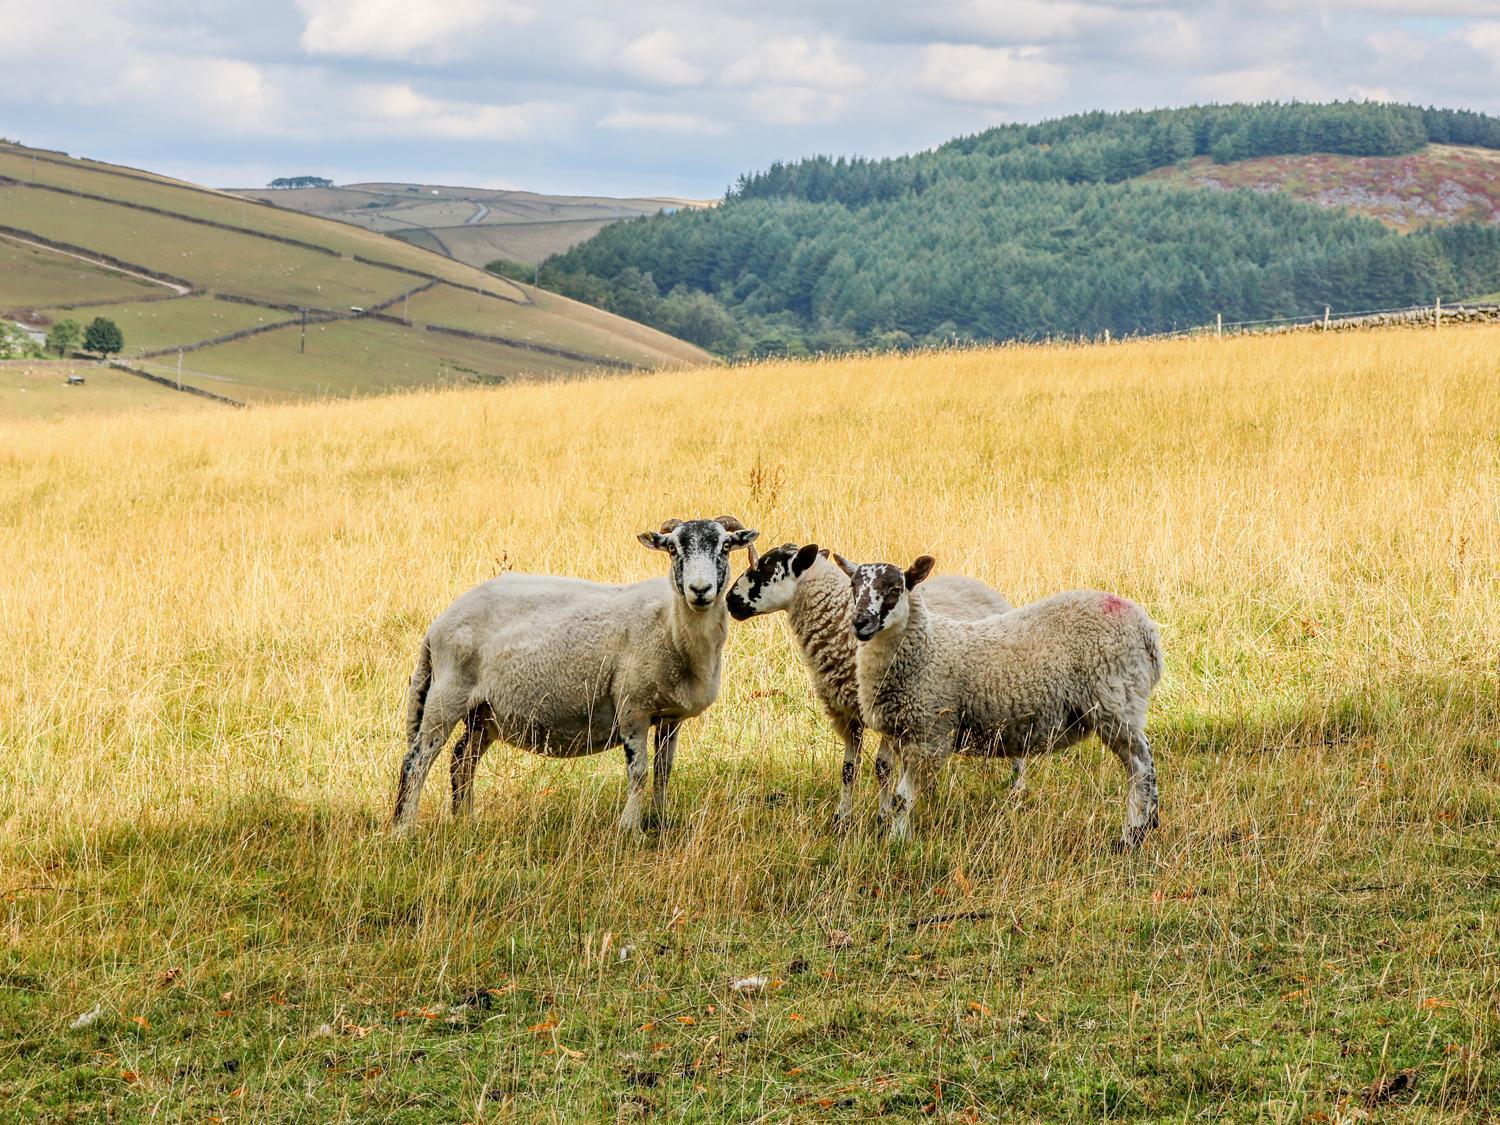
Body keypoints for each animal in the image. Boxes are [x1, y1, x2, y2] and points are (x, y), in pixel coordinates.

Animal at [393, 519, 756, 840]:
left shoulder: (670, 717)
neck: (669, 623)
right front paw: (631, 830)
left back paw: (467, 821)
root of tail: (438, 625)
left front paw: (660, 821)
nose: (700, 590)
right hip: (448, 693)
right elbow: (638, 772)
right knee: (418, 760)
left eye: (725, 546)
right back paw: (404, 829)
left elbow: (663, 773)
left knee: (462, 760)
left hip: (484, 713)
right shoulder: (632, 706)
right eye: (672, 548)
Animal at [726, 546, 1020, 828]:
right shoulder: (848, 714)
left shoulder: (888, 711)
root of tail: (982, 587)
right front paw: (842, 820)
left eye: (765, 569)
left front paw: (882, 818)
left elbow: (882, 768)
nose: (729, 600)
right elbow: (848, 769)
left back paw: (1016, 791)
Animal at [846, 555, 1158, 846]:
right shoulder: (902, 734)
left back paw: (1132, 836)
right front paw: (894, 832)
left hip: (1115, 700)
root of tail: (1147, 630)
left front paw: (897, 843)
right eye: (853, 587)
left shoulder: (930, 736)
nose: (860, 622)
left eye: (895, 589)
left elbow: (902, 798)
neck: (928, 648)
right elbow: (892, 786)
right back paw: (1148, 824)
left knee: (1140, 766)